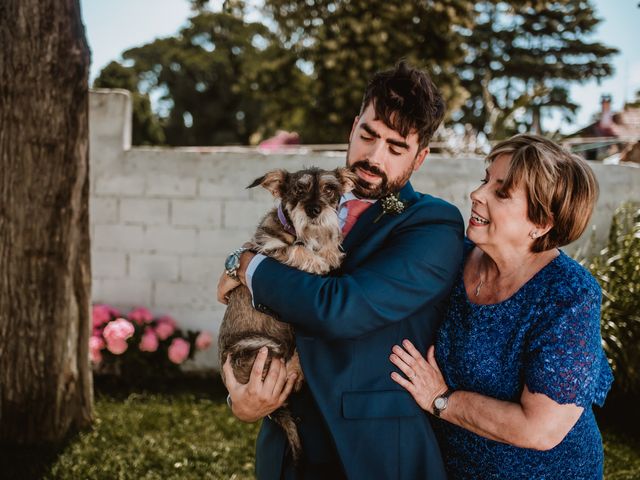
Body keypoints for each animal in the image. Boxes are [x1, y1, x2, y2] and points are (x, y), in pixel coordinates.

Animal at [218, 165, 358, 462]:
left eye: (330, 189)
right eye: (298, 189)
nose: (314, 210)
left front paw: (331, 251)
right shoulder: (268, 251)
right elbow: (296, 248)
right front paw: (319, 260)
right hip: (263, 348)